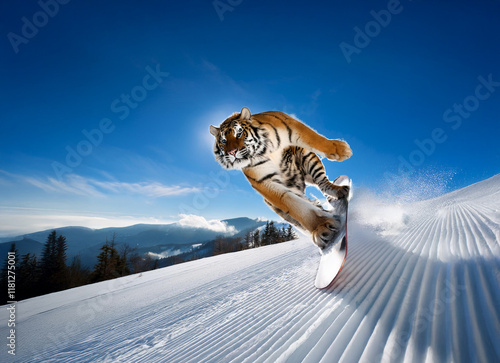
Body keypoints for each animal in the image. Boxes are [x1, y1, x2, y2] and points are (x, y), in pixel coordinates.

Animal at [209, 107, 354, 250]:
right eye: (223, 141)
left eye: (238, 134)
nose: (231, 152)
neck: (263, 150)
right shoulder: (265, 181)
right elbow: (294, 205)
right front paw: (321, 227)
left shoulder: (292, 126)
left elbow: (315, 139)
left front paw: (342, 149)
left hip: (306, 155)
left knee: (323, 183)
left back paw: (340, 190)